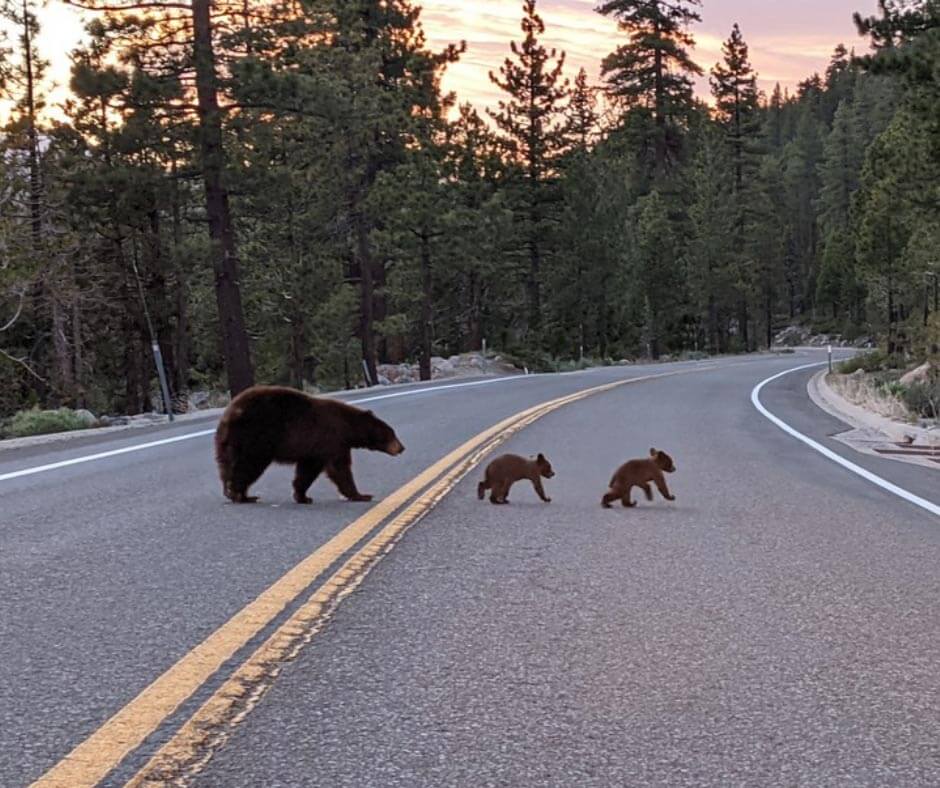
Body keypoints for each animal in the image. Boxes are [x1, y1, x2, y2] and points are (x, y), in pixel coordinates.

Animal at [215, 386, 406, 504]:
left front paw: (302, 496)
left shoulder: (315, 447)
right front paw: (361, 495)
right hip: (255, 438)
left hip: (227, 443)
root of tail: (230, 413)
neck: (348, 426)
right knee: (248, 465)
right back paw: (240, 494)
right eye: (392, 434)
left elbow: (307, 470)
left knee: (226, 465)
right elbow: (338, 468)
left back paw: (232, 491)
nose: (402, 447)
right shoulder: (332, 439)